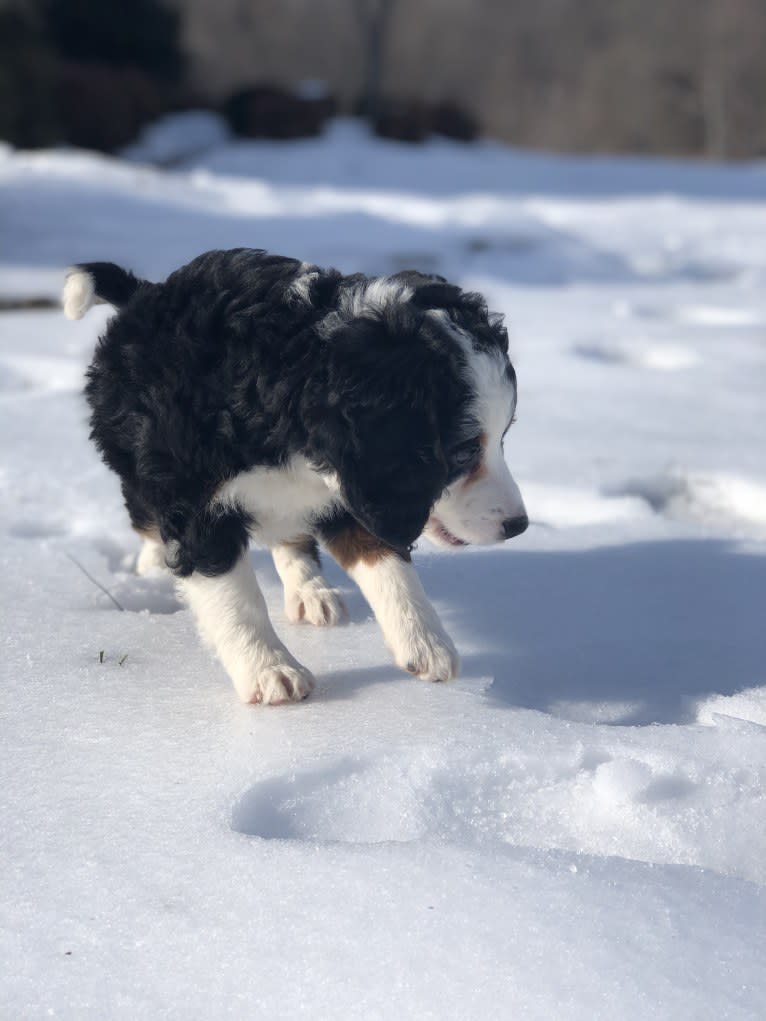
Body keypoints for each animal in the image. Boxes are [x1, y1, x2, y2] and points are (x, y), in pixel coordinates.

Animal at [63, 251, 527, 706]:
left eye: (503, 438)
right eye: (464, 451)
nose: (519, 526)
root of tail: (145, 292)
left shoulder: (358, 488)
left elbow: (385, 559)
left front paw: (426, 643)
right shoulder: (194, 500)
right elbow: (235, 595)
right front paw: (271, 670)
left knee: (290, 532)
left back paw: (310, 591)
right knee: (145, 518)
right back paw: (156, 567)